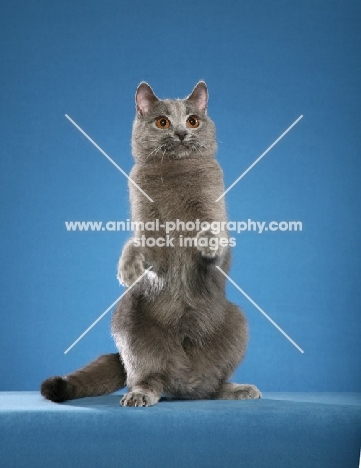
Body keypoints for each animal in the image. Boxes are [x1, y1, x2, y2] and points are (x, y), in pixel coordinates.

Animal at [40, 80, 260, 406]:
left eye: (192, 120)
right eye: (162, 122)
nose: (181, 132)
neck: (175, 175)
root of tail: (181, 373)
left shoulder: (214, 212)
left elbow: (213, 233)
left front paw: (206, 242)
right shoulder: (149, 228)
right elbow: (138, 243)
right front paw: (128, 269)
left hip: (237, 320)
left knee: (207, 387)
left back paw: (235, 389)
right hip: (128, 318)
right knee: (147, 375)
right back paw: (142, 394)